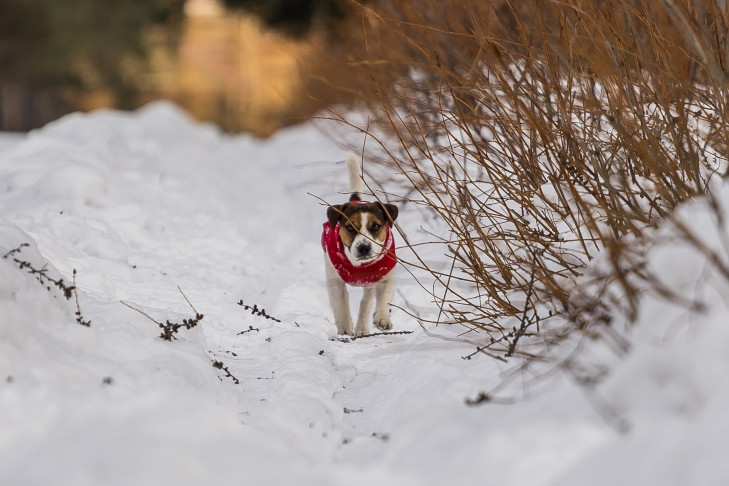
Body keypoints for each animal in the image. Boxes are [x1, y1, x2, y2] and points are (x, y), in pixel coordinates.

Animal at [320, 154, 396, 336]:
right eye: (349, 227)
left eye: (375, 226)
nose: (364, 247)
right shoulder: (334, 281)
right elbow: (341, 305)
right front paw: (345, 329)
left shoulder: (384, 277)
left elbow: (377, 299)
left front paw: (381, 319)